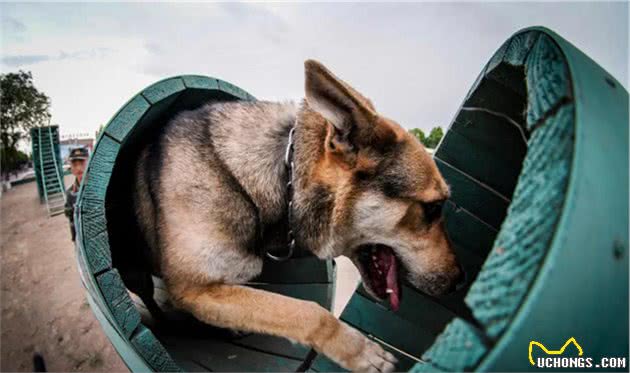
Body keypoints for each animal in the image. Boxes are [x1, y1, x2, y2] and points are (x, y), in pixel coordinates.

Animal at [131, 59, 464, 370]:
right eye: (434, 208)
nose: (460, 282)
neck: (280, 177)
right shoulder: (194, 288)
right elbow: (308, 311)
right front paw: (362, 353)